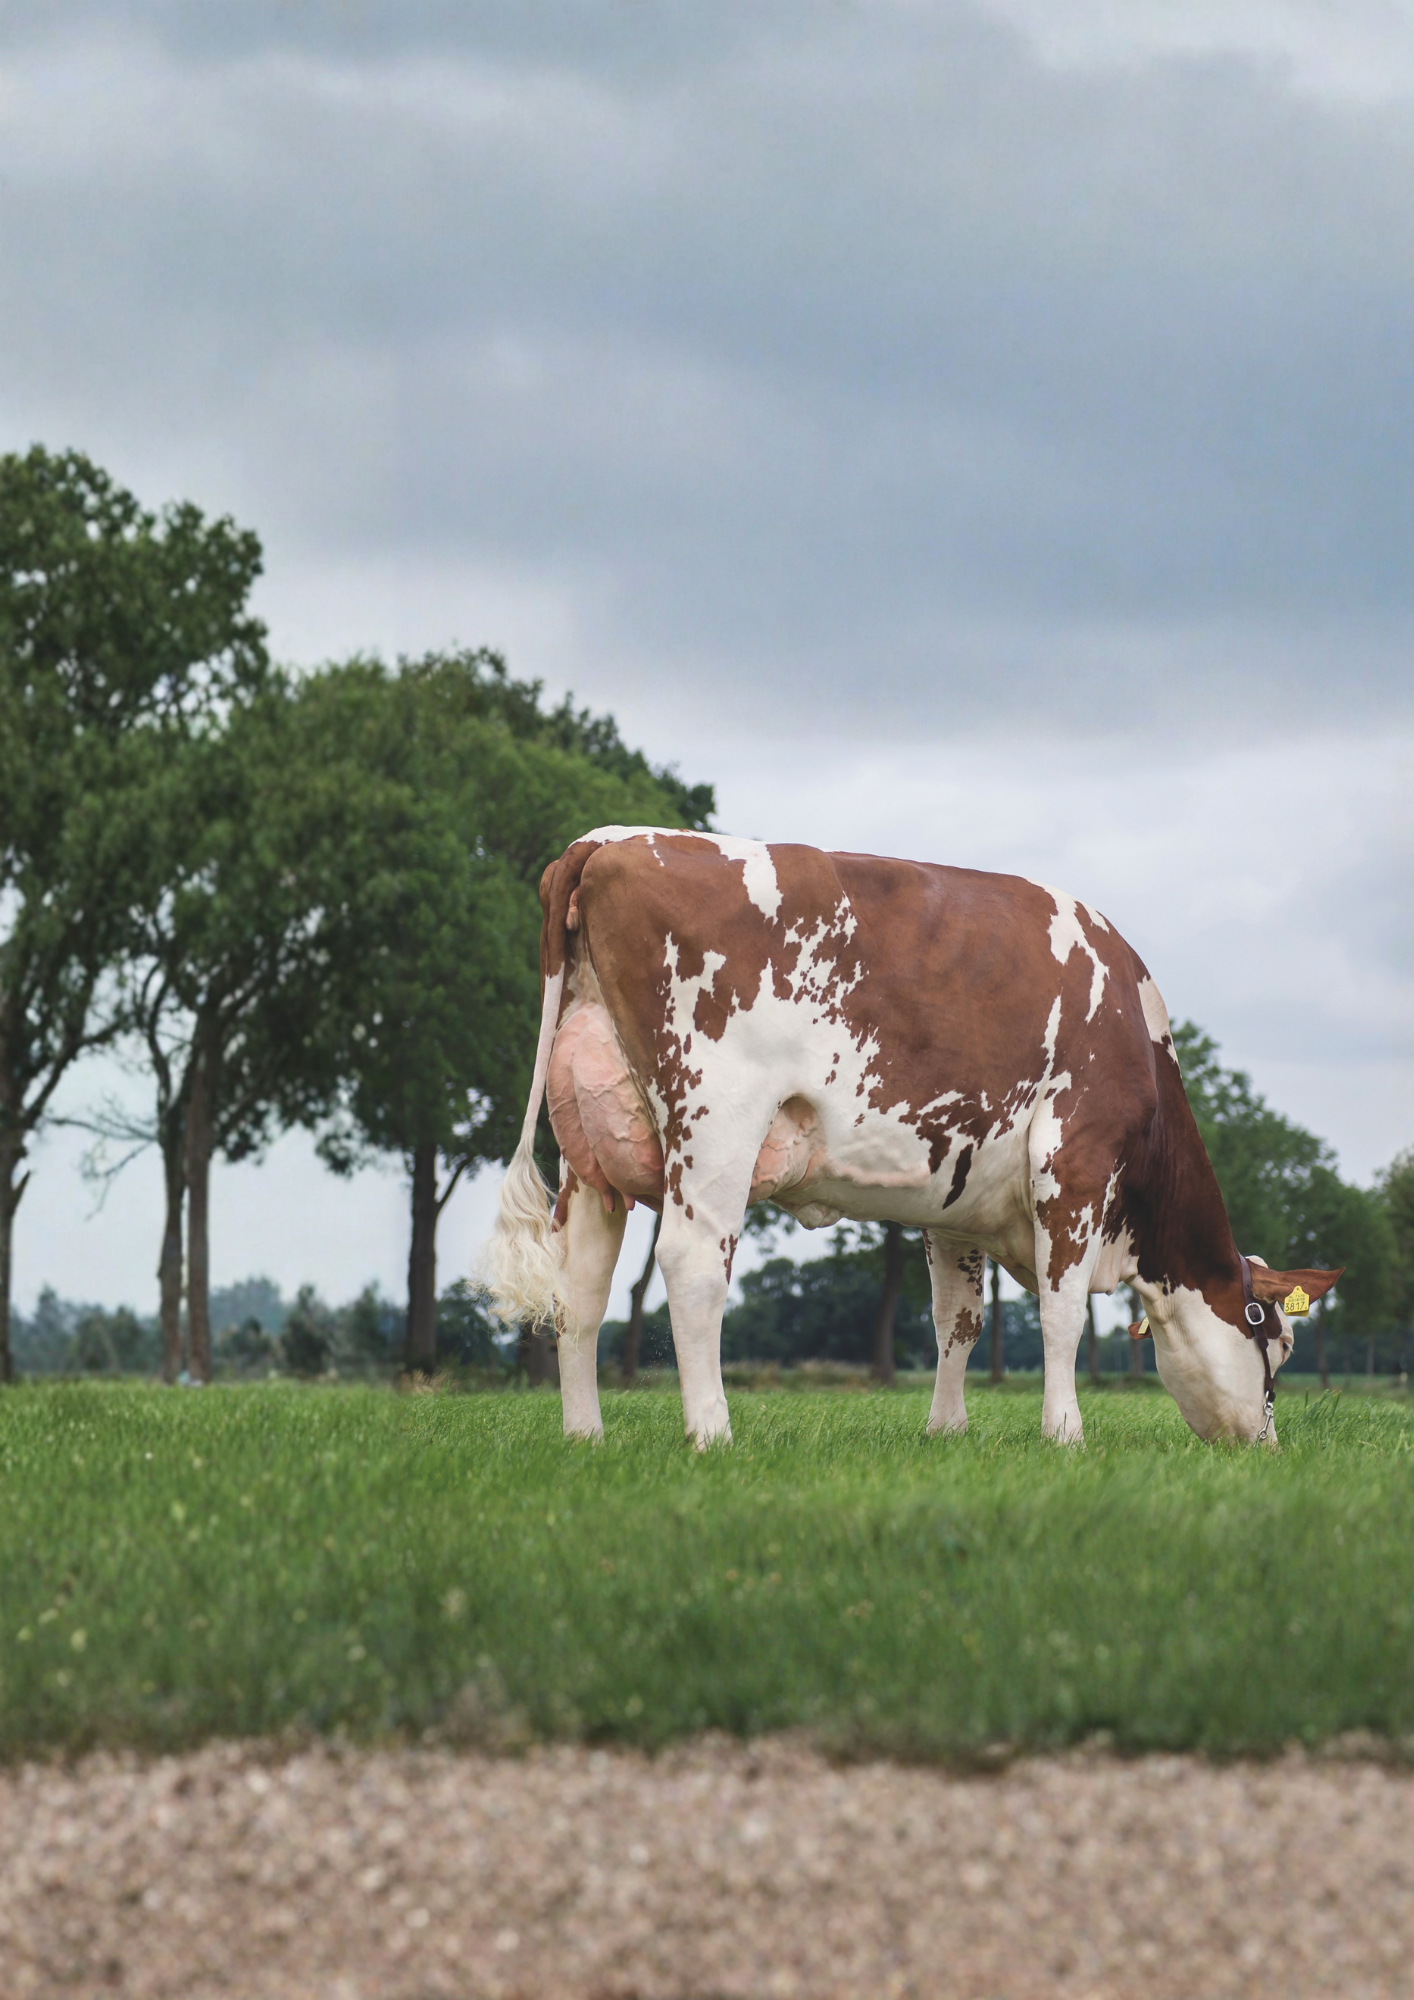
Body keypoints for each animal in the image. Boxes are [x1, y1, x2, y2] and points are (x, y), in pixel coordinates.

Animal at [489, 827, 1340, 1447]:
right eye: (1278, 1344)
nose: (1264, 1444)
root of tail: (609, 841)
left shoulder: (954, 1203)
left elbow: (956, 1319)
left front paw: (947, 1429)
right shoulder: (1073, 1159)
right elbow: (1061, 1313)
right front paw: (1064, 1433)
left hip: (588, 1146)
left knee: (580, 1286)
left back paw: (584, 1434)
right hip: (717, 1121)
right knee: (693, 1265)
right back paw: (712, 1432)